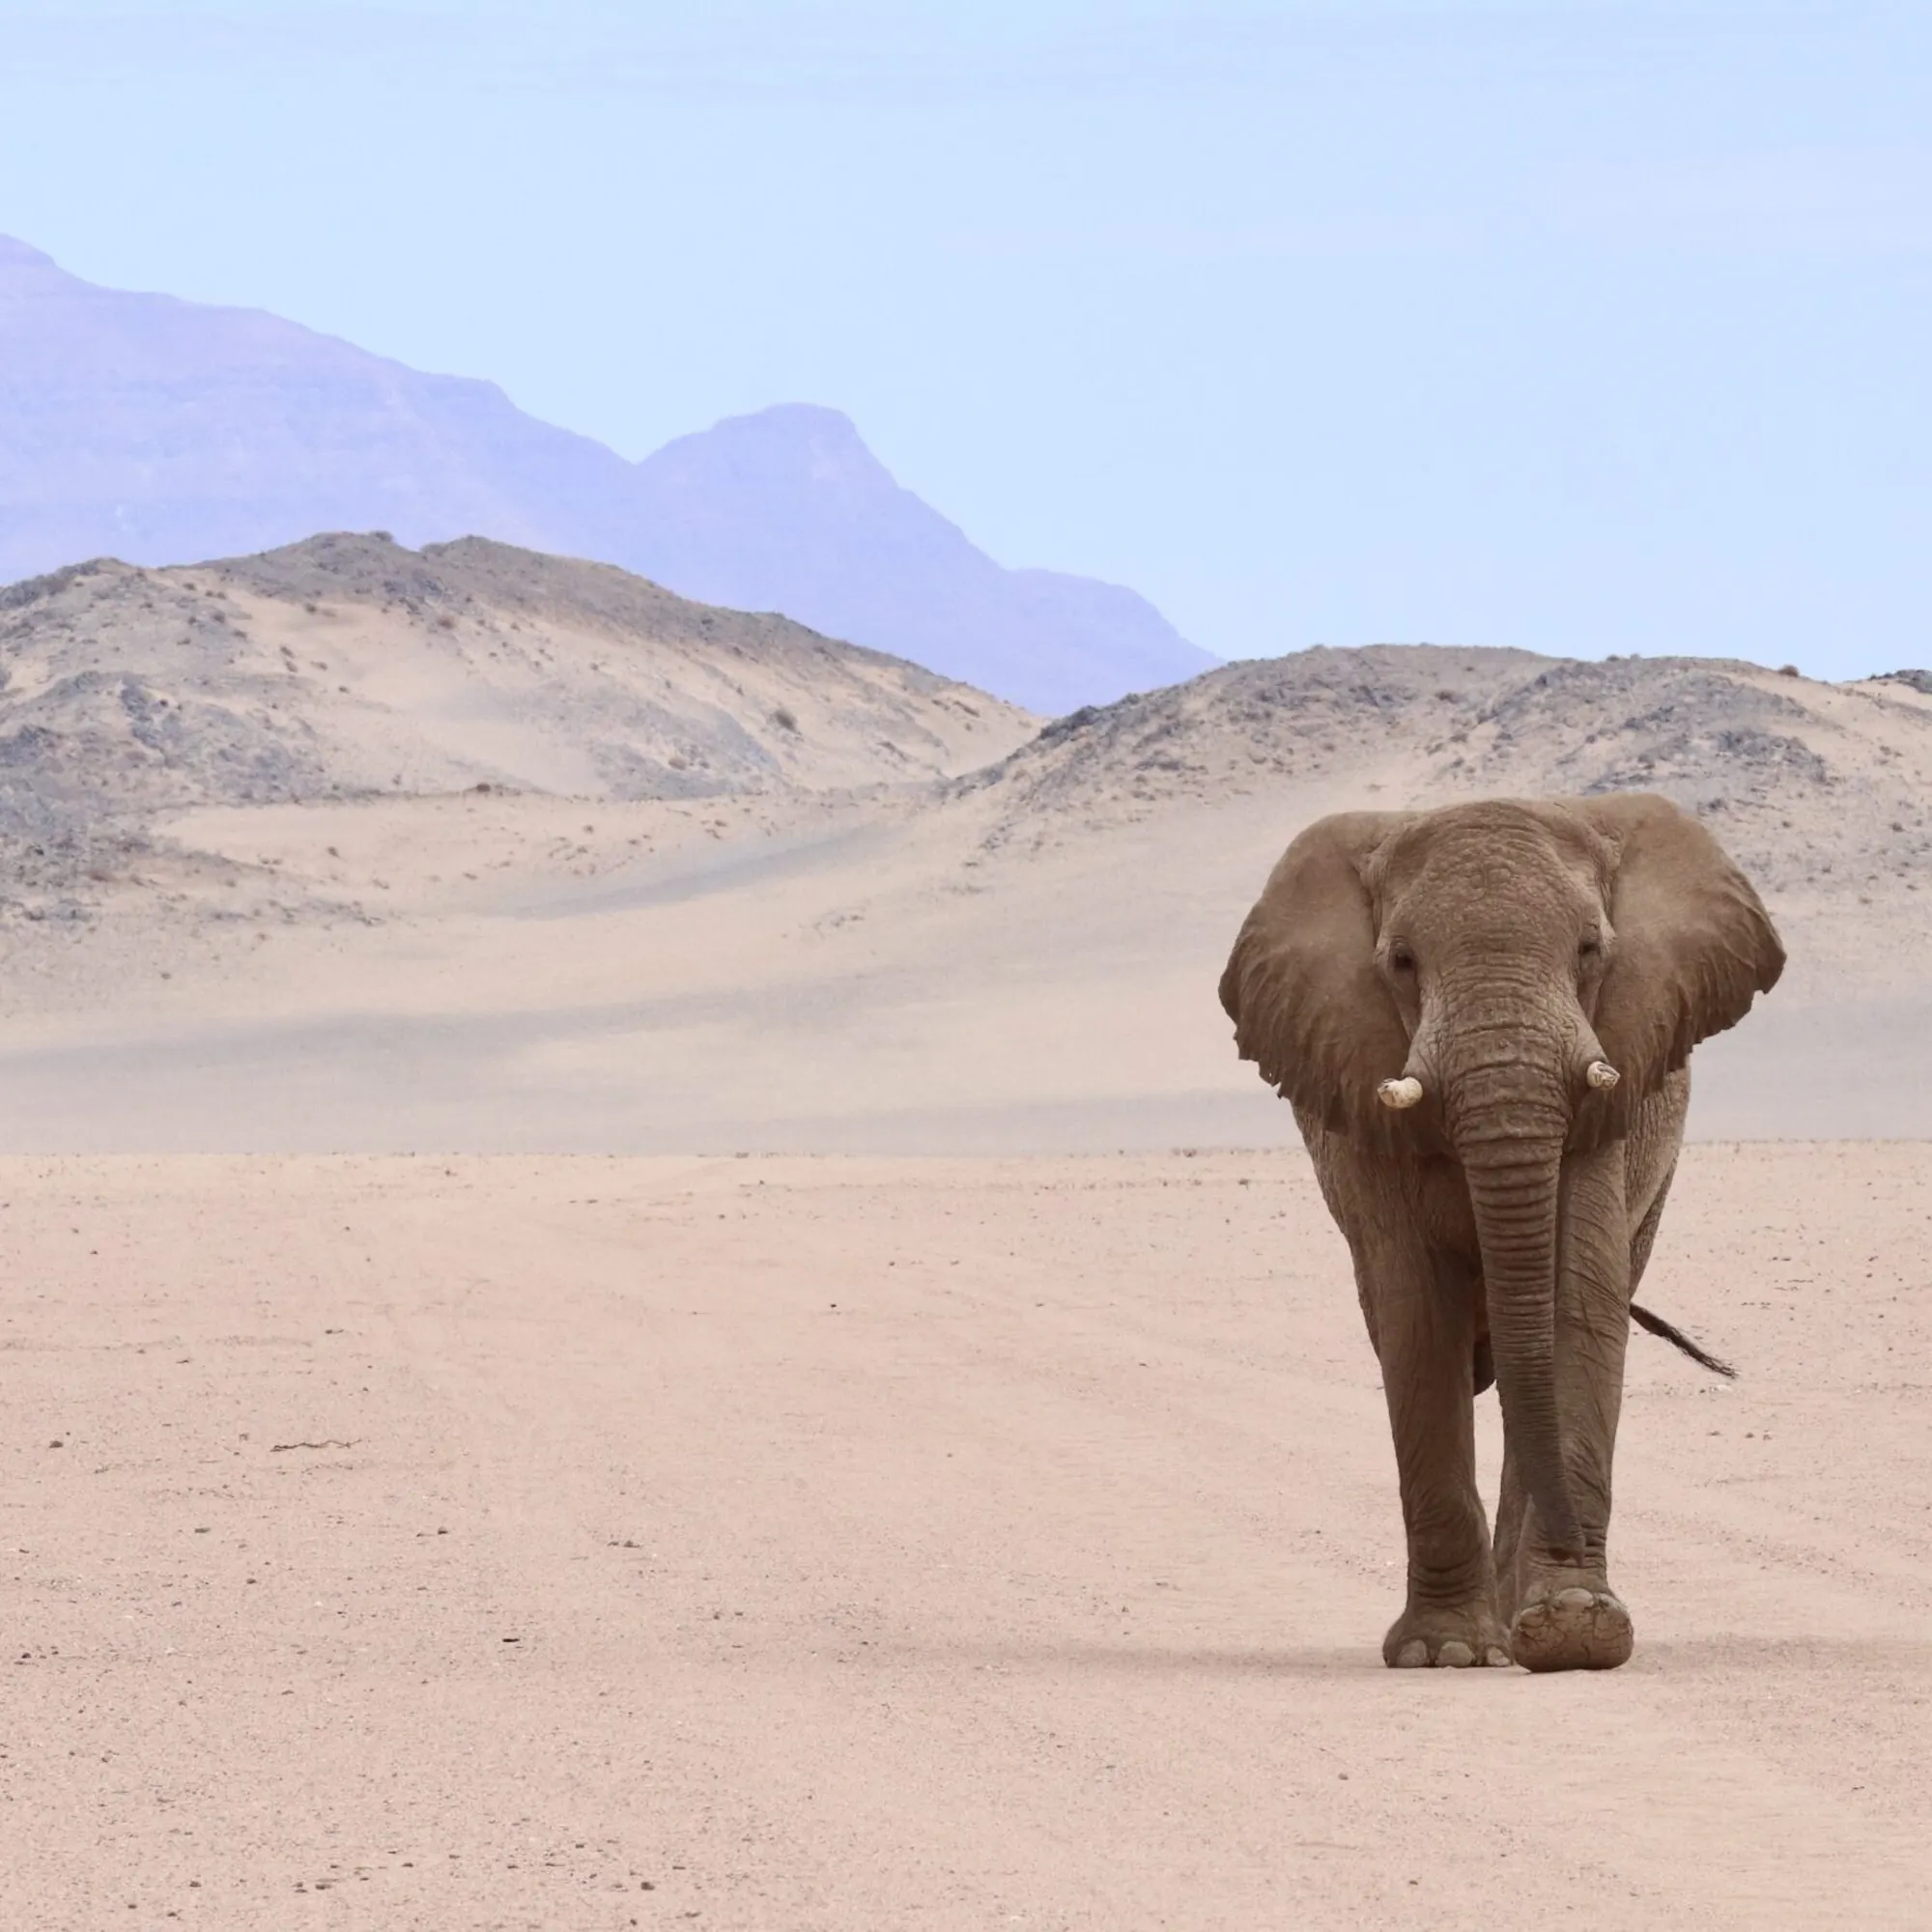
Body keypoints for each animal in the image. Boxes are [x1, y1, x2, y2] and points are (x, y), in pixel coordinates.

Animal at [1219, 793, 1783, 1673]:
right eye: (1402, 962)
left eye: (1590, 950)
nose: (1570, 1560)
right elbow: (1418, 1322)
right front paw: (1448, 1653)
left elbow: (1577, 1302)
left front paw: (1576, 1630)